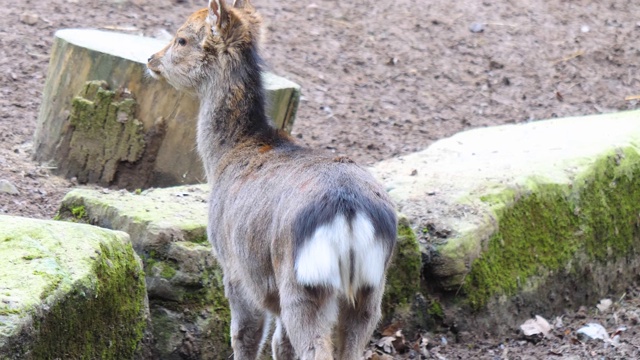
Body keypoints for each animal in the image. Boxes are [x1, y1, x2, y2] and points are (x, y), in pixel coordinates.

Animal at [148, 1, 398, 358]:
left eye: (181, 39)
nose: (151, 59)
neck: (225, 157)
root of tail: (350, 214)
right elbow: (281, 344)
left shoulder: (234, 265)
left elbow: (245, 334)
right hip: (371, 289)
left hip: (302, 282)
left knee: (313, 346)